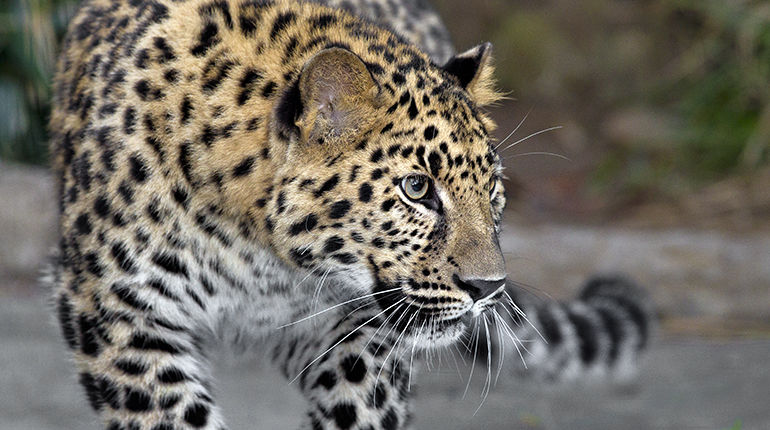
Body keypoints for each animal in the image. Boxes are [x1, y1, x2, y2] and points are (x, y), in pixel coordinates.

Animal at [48, 0, 653, 429]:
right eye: (417, 188)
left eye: (493, 189)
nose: (490, 288)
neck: (258, 251)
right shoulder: (118, 312)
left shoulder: (361, 332)